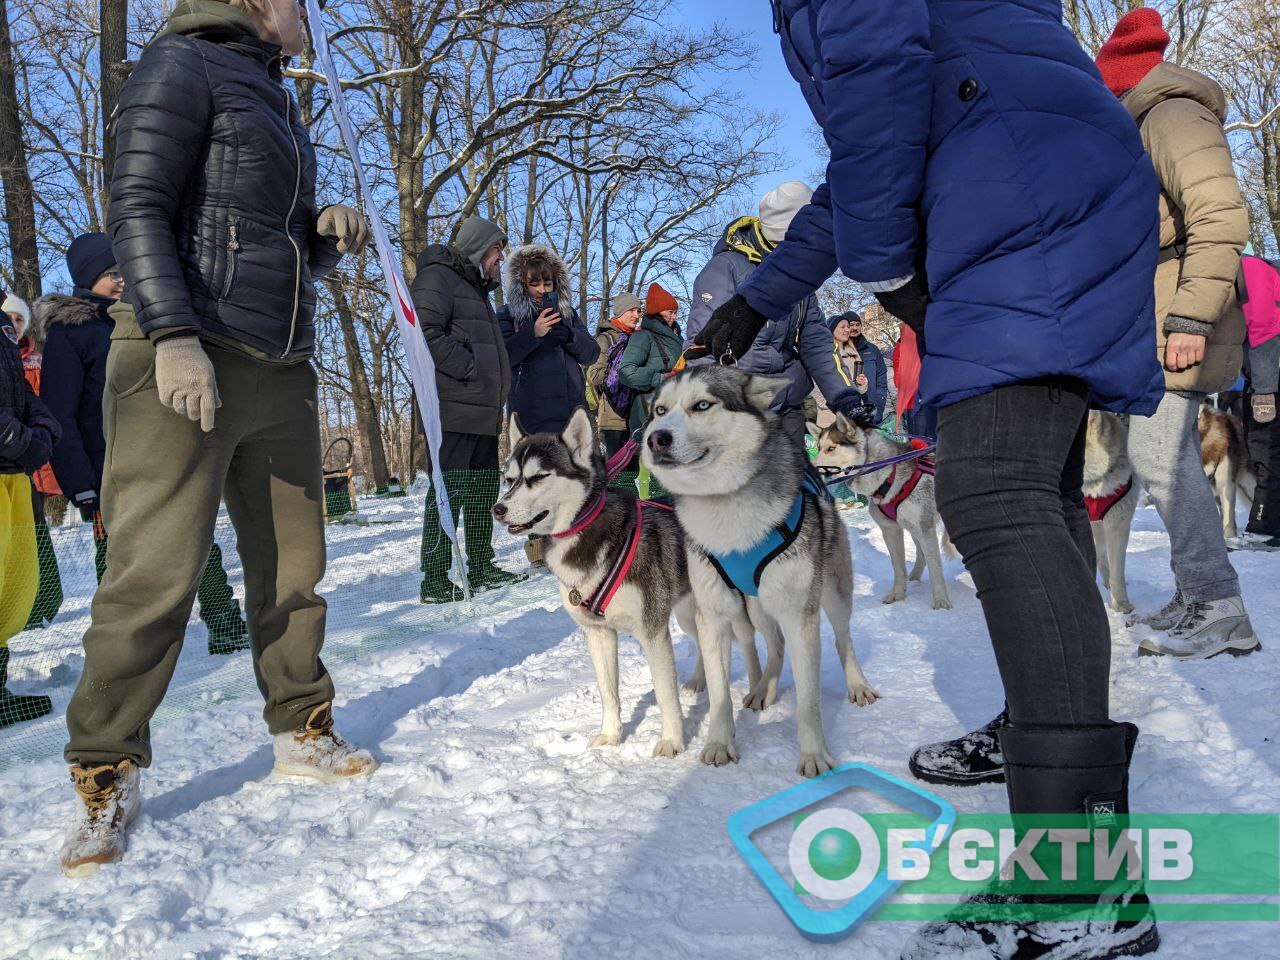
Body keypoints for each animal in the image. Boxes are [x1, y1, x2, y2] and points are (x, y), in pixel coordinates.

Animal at [491, 409, 768, 757]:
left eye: (539, 477)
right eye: (509, 479)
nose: (498, 509)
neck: (586, 534)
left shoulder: (652, 633)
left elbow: (664, 694)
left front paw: (672, 741)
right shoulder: (598, 634)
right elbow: (608, 692)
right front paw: (611, 736)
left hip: (735, 607)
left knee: (747, 641)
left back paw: (758, 689)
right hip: (689, 614)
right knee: (703, 643)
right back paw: (698, 681)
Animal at [645, 363, 875, 778]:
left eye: (702, 405)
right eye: (659, 410)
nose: (656, 439)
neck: (725, 509)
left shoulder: (800, 615)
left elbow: (809, 700)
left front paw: (813, 755)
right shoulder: (714, 617)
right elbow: (719, 692)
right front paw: (719, 744)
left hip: (830, 593)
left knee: (842, 637)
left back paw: (856, 685)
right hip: (754, 606)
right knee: (774, 644)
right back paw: (763, 687)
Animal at [808, 414, 952, 609]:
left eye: (831, 448)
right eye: (819, 448)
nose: (809, 466)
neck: (889, 475)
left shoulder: (925, 529)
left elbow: (935, 567)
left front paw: (941, 601)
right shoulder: (890, 530)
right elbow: (898, 567)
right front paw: (898, 594)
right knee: (920, 553)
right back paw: (914, 578)